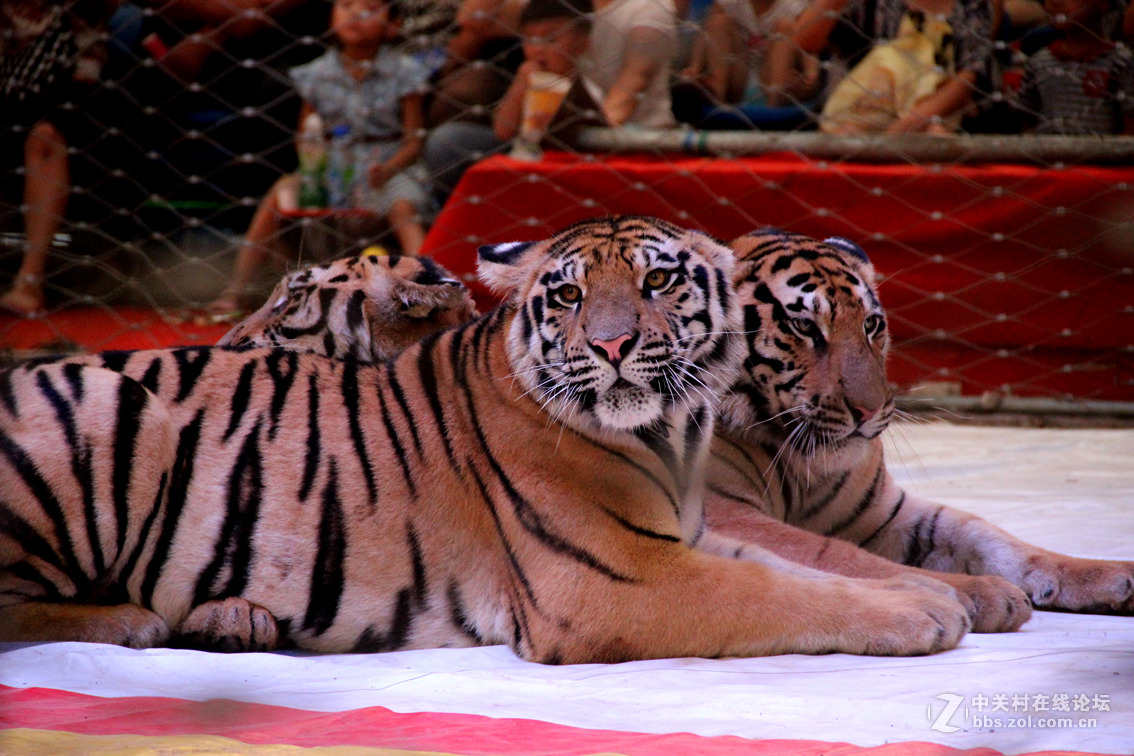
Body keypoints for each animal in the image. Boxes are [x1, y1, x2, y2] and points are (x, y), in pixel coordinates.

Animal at [0, 215, 973, 661]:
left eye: (658, 282)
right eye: (570, 296)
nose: (613, 346)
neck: (670, 431)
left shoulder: (688, 535)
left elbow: (804, 565)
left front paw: (941, 590)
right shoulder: (617, 582)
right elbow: (780, 594)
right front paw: (927, 610)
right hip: (102, 400)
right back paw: (137, 620)